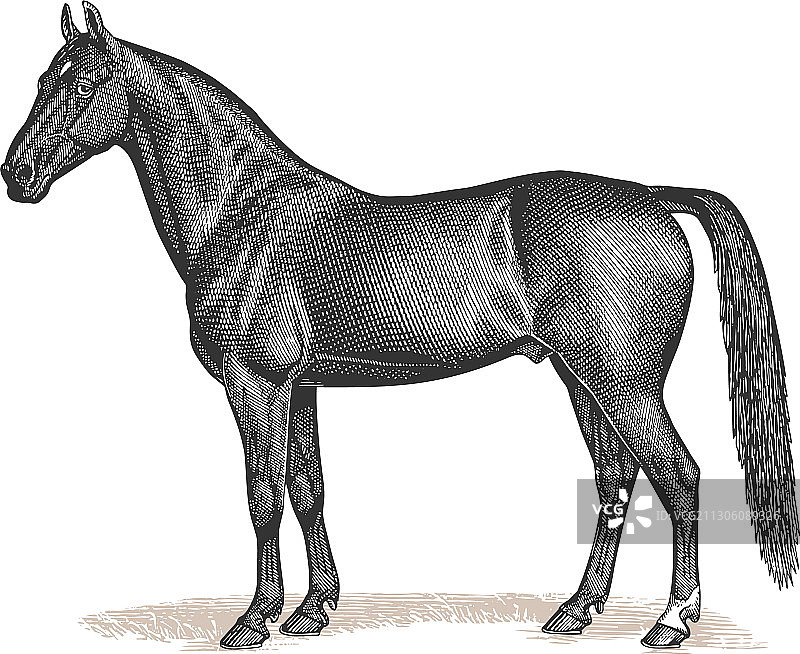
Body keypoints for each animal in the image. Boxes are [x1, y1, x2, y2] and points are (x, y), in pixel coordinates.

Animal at [3, 3, 797, 650]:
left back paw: (672, 622)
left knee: (678, 478)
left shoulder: (254, 385)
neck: (242, 211)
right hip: (584, 378)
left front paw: (254, 621)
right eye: (44, 77)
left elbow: (263, 497)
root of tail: (653, 197)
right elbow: (308, 490)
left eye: (82, 84)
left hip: (624, 382)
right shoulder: (301, 387)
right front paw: (313, 611)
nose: (17, 175)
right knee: (614, 480)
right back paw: (575, 613)